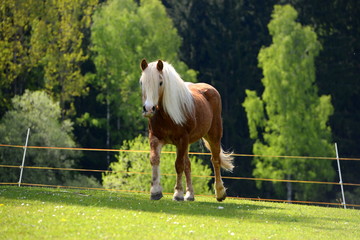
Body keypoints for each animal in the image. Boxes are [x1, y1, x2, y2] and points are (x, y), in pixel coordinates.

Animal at [138, 59, 233, 202]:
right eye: (142, 82)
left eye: (160, 82)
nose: (148, 109)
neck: (167, 115)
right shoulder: (155, 138)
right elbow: (155, 160)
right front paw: (155, 192)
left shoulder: (182, 140)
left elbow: (178, 165)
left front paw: (177, 194)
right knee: (188, 164)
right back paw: (190, 195)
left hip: (213, 136)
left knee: (215, 160)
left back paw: (220, 193)